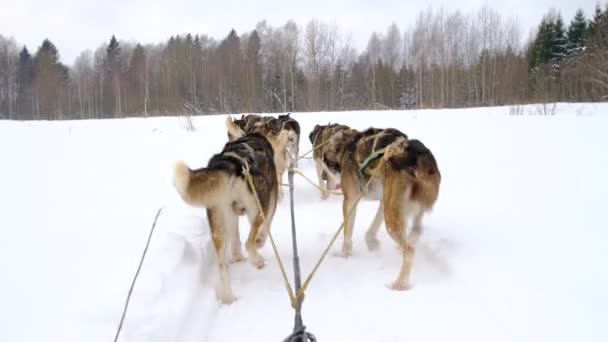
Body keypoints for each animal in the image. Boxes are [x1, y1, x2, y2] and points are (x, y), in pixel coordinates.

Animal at [171, 132, 284, 304]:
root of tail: (231, 164)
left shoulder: (231, 215)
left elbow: (235, 238)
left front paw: (237, 257)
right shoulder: (271, 200)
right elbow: (266, 226)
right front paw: (260, 241)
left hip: (219, 220)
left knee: (222, 264)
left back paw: (227, 297)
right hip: (258, 206)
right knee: (249, 242)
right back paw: (257, 260)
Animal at [326, 127, 440, 290]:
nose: (323, 177)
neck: (348, 146)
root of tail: (419, 158)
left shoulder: (350, 201)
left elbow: (347, 234)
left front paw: (345, 255)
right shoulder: (383, 201)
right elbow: (373, 227)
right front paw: (372, 243)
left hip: (392, 217)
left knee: (410, 250)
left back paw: (400, 284)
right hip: (400, 208)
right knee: (416, 231)